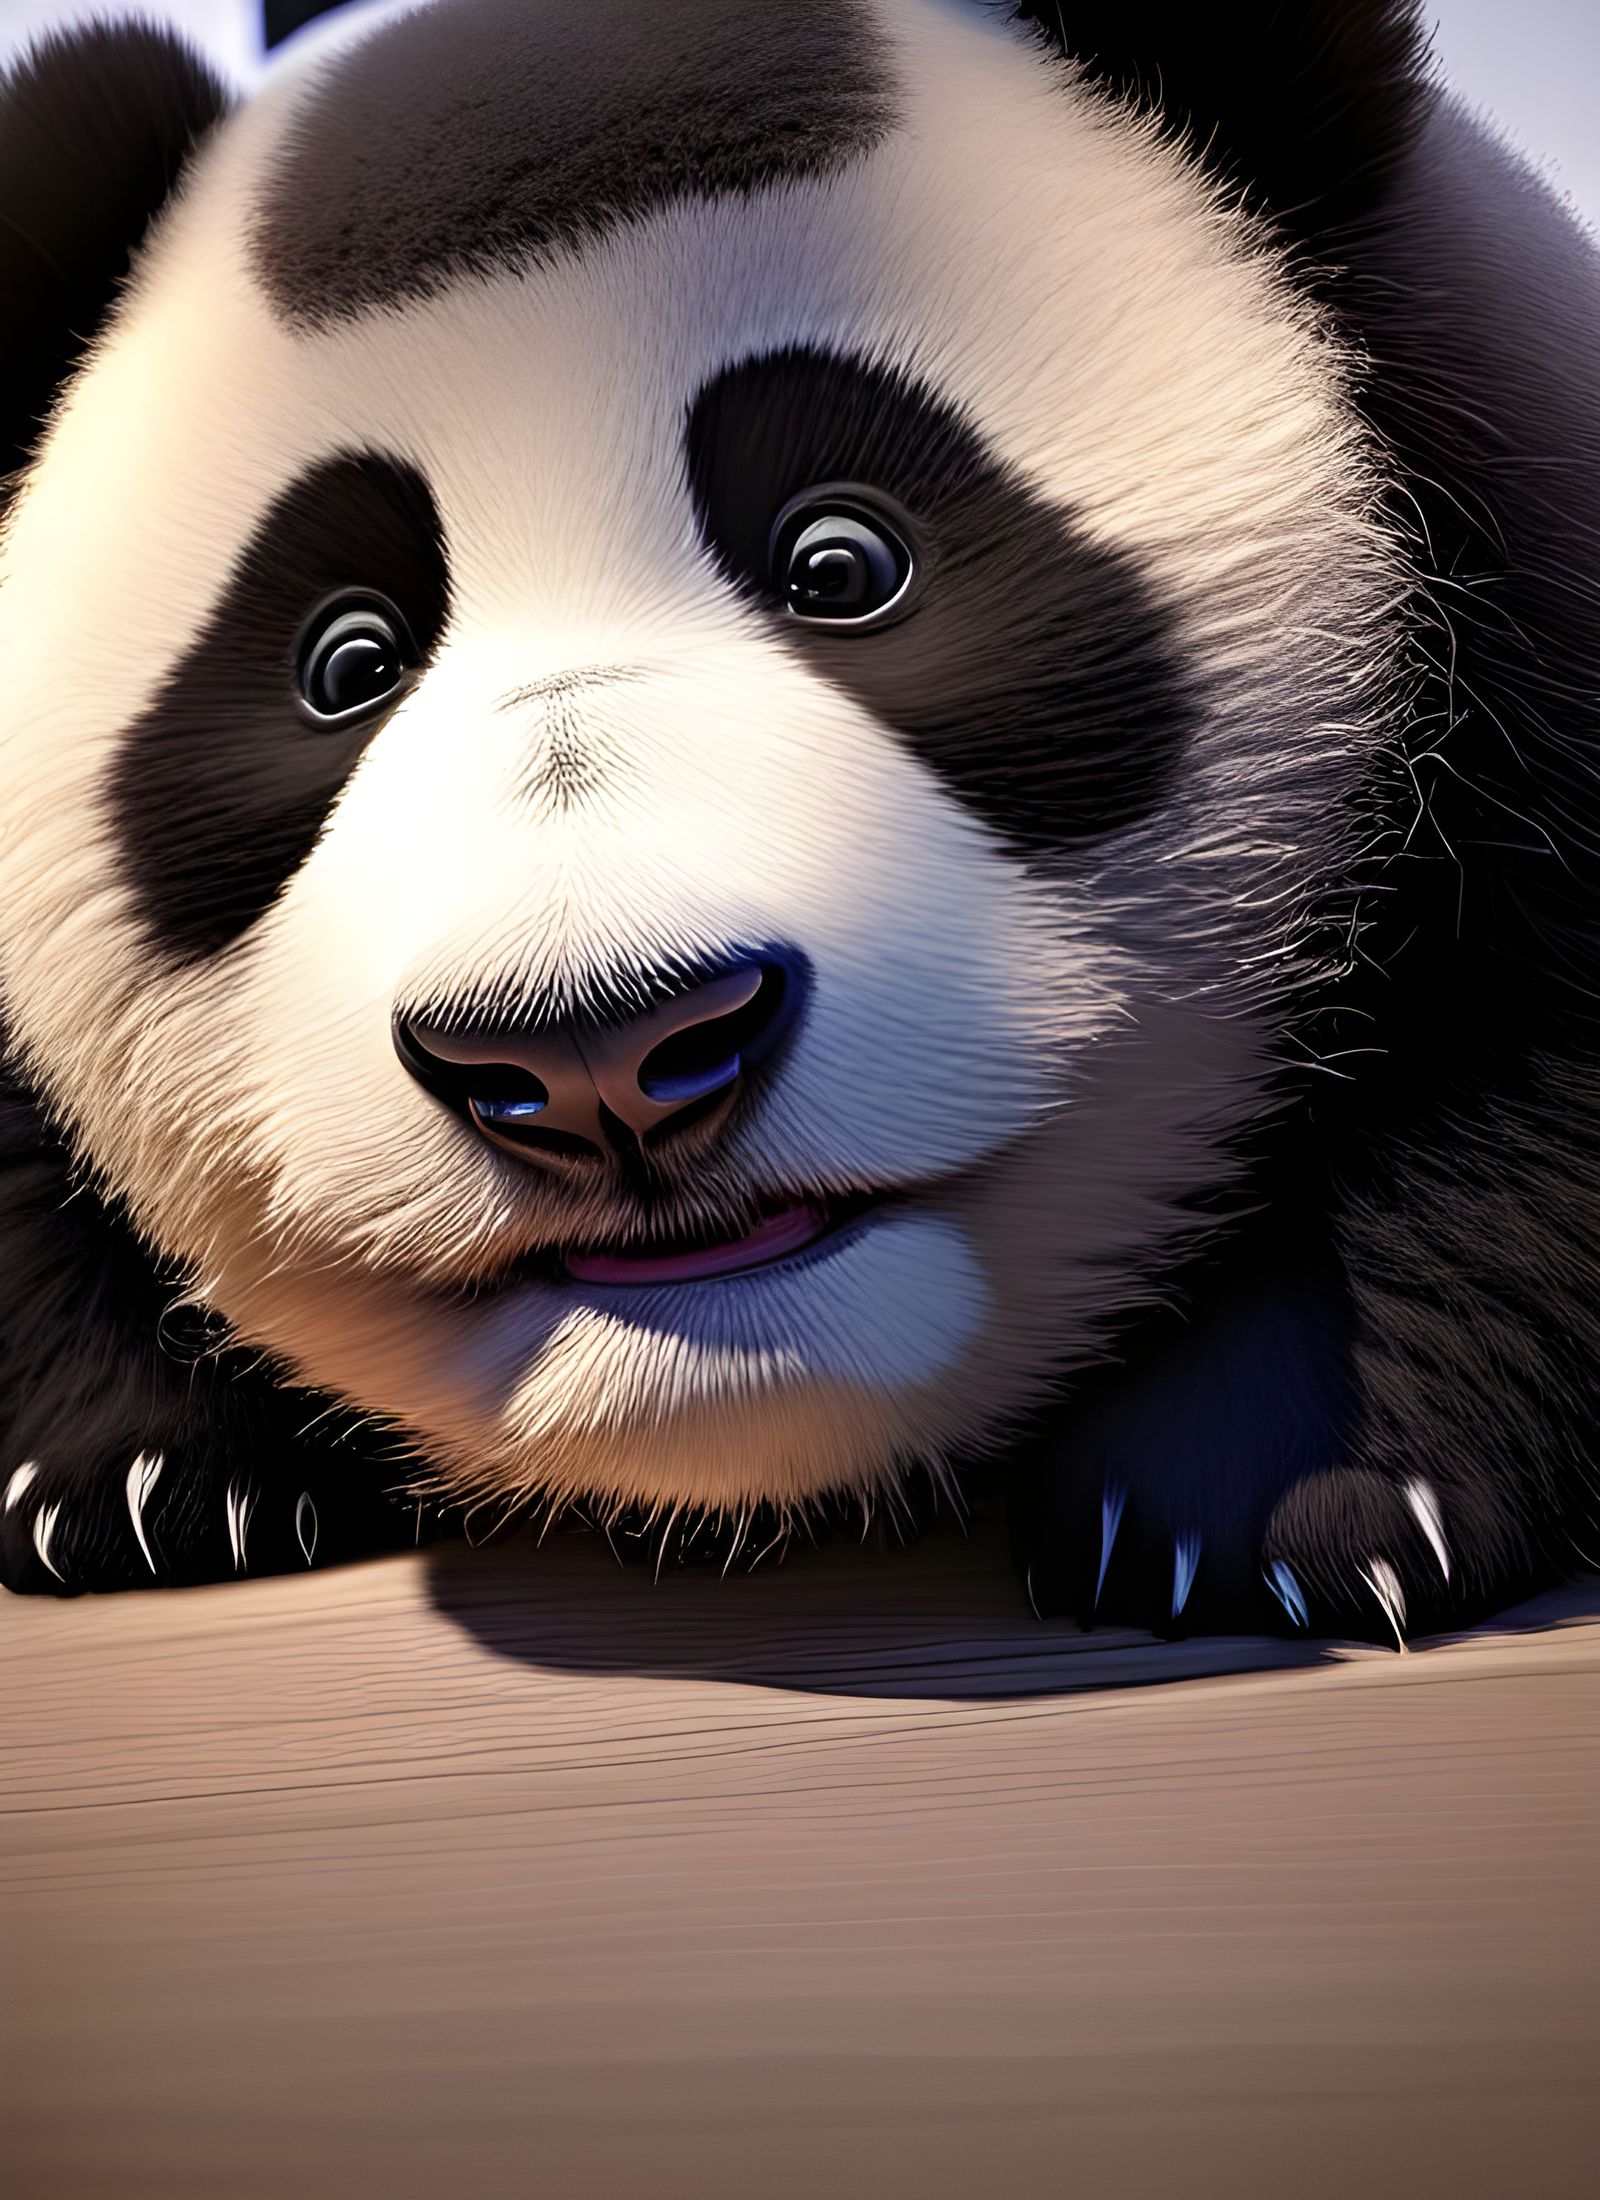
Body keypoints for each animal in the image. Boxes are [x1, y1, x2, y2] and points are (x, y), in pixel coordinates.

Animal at [1, 0, 1597, 1642]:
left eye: (843, 564)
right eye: (347, 663)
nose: (599, 1056)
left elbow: (1519, 1025)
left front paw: (1272, 1497)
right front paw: (140, 1482)